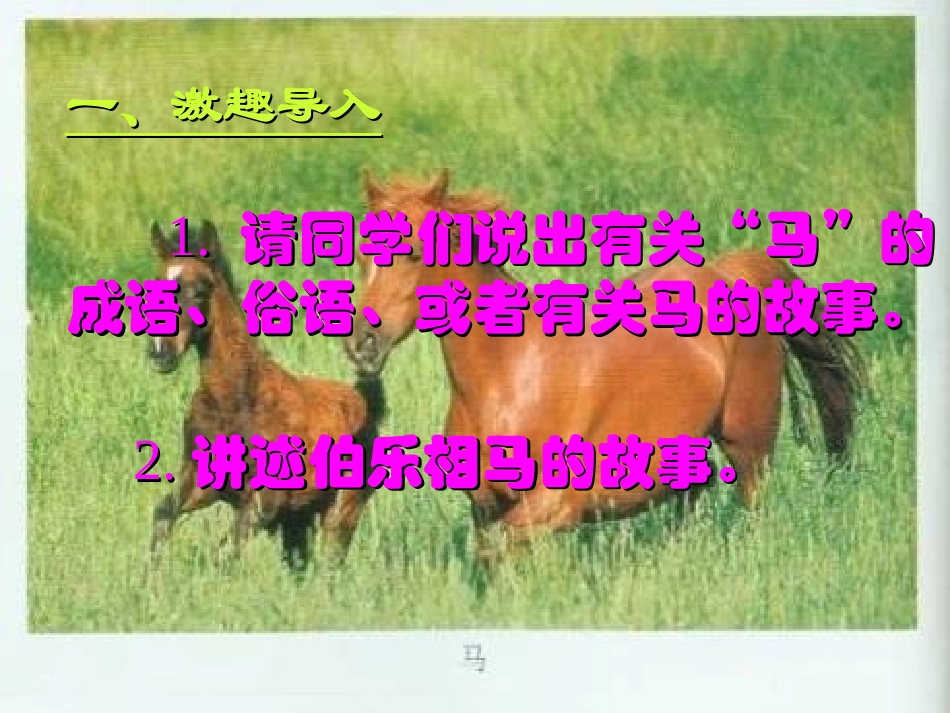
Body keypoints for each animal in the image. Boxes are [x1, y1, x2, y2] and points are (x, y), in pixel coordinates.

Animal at [147, 220, 384, 570]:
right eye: (152, 288)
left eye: (200, 291)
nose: (160, 352)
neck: (235, 400)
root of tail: (365, 403)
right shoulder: (202, 483)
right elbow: (164, 515)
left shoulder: (263, 501)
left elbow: (227, 549)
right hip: (297, 520)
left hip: (342, 510)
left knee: (331, 564)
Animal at [346, 170, 864, 566]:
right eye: (360, 253)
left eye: (413, 252)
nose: (362, 344)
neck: (509, 377)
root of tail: (733, 271)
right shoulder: (484, 506)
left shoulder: (552, 507)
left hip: (748, 443)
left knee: (752, 502)